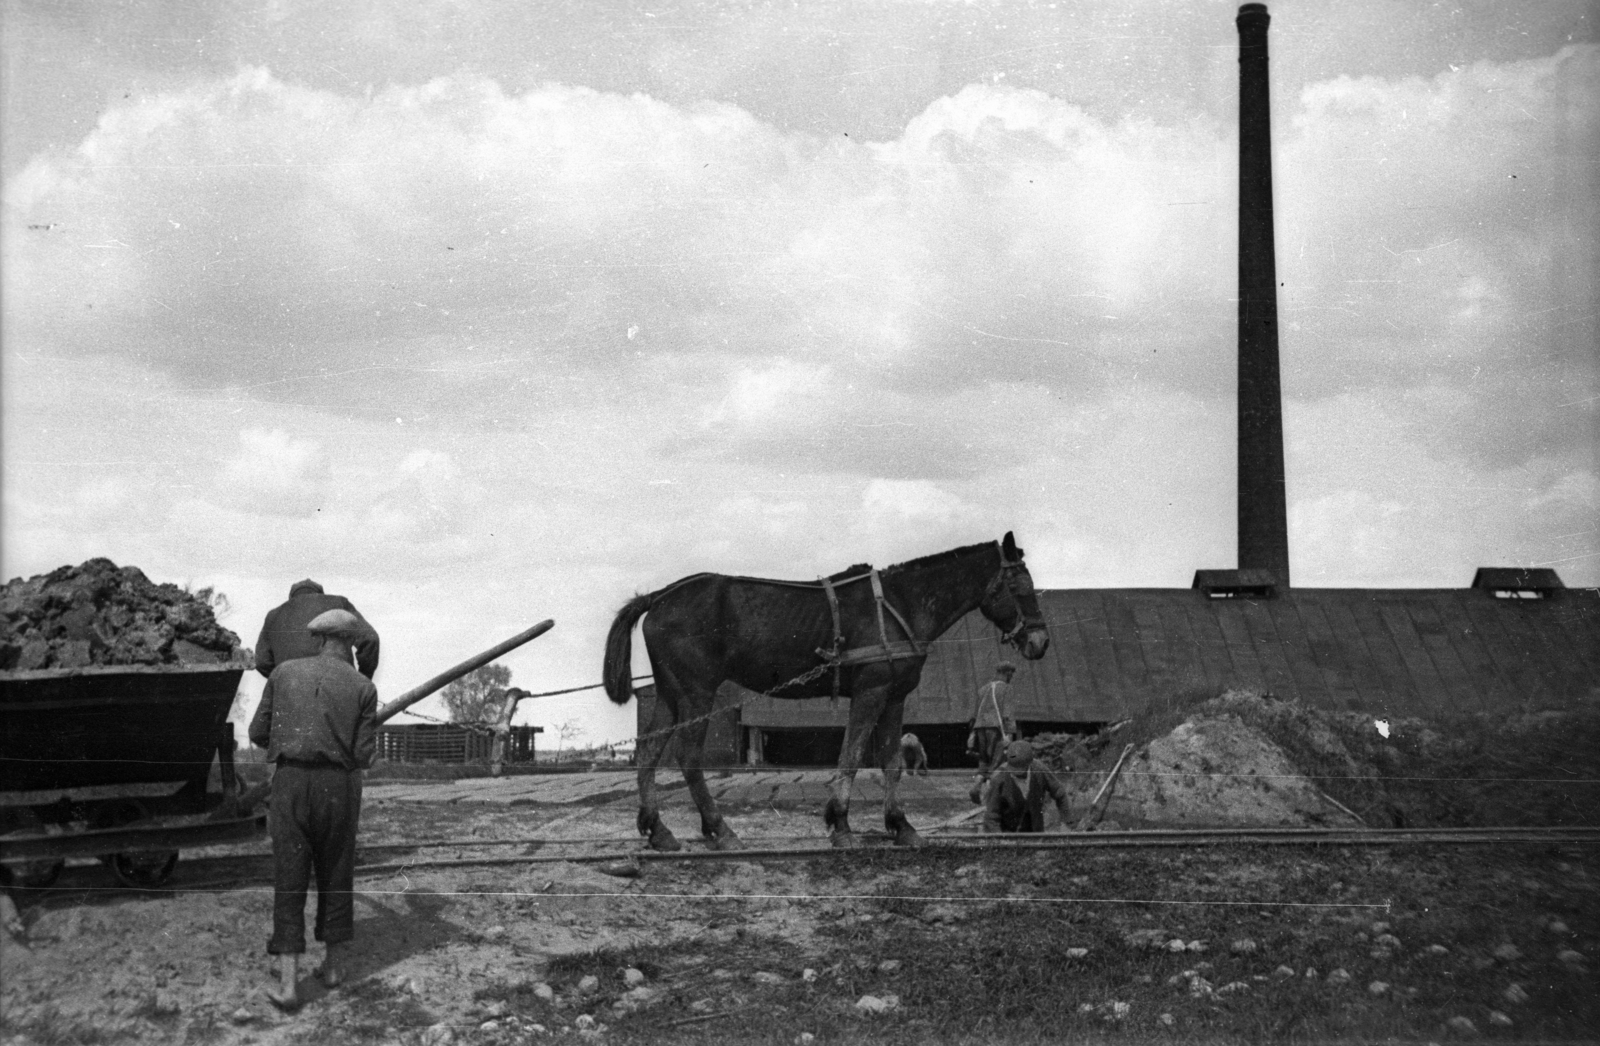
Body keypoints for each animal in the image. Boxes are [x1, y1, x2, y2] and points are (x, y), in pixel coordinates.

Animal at [601, 534, 1049, 850]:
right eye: (1020, 585)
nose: (1039, 641)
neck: (900, 604)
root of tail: (657, 597)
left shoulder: (894, 697)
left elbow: (891, 763)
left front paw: (901, 826)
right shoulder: (872, 691)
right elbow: (850, 757)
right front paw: (841, 823)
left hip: (670, 693)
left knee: (649, 749)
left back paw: (658, 830)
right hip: (696, 693)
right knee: (688, 757)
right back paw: (719, 829)